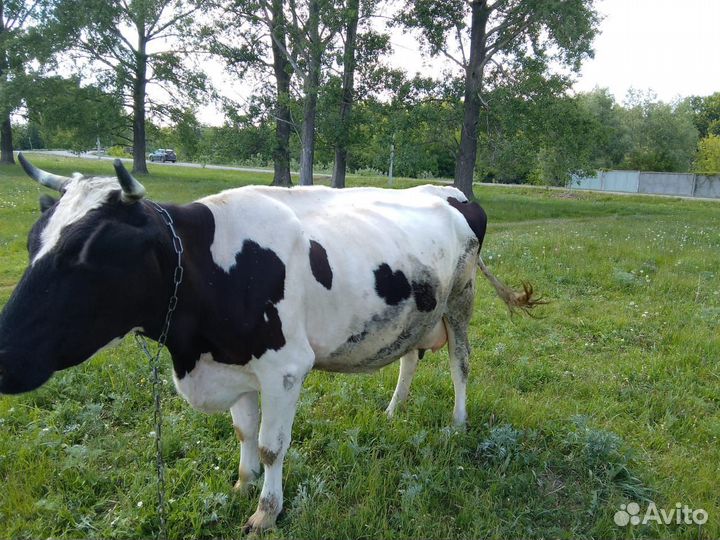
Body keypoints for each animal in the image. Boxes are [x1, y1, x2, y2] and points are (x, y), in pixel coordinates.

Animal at [0, 154, 541, 532]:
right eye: (31, 242)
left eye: (87, 253)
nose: (4, 357)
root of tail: (451, 192)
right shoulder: (235, 368)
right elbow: (243, 434)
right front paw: (242, 486)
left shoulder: (285, 369)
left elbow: (270, 445)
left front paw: (266, 511)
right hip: (416, 311)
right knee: (409, 358)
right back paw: (393, 410)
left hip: (460, 301)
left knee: (460, 362)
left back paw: (458, 422)